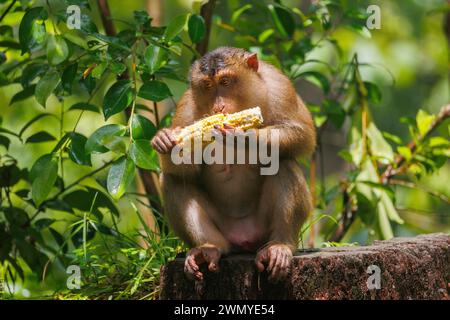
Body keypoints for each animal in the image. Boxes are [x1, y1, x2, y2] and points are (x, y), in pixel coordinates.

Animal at [151, 47, 316, 282]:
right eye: (207, 86)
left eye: (226, 82)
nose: (218, 106)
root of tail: (244, 238)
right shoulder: (186, 108)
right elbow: (184, 168)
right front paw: (165, 140)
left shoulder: (280, 86)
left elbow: (303, 134)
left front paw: (244, 137)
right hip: (225, 230)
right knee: (173, 180)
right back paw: (209, 248)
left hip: (262, 228)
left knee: (284, 163)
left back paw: (279, 245)